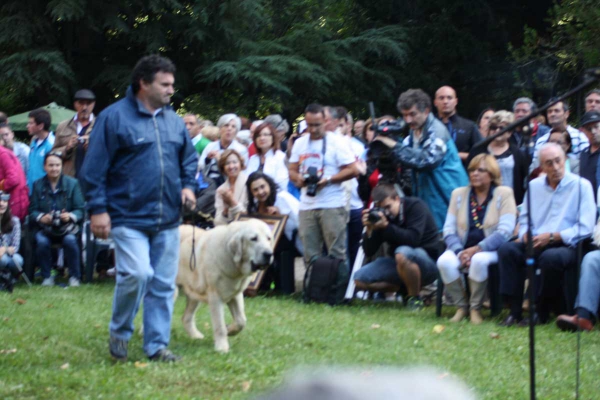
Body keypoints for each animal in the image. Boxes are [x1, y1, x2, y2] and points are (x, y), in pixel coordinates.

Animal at [176, 219, 274, 354]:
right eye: (253, 239)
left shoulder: (236, 295)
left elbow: (241, 321)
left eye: (268, 238)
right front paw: (222, 347)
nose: (269, 254)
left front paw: (229, 330)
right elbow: (219, 325)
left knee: (186, 317)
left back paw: (196, 336)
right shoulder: (215, 297)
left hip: (194, 293)